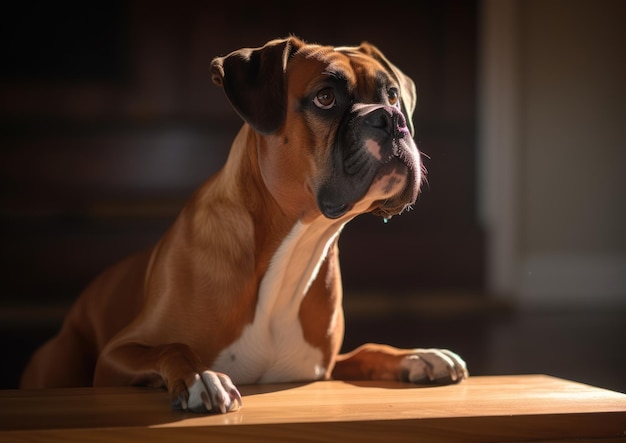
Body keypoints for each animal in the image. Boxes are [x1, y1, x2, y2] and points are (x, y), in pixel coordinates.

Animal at [20, 36, 464, 414]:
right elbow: (173, 347)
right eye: (325, 98)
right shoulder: (116, 357)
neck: (293, 248)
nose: (391, 119)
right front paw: (199, 376)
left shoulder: (323, 369)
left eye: (392, 96)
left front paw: (417, 356)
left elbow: (367, 349)